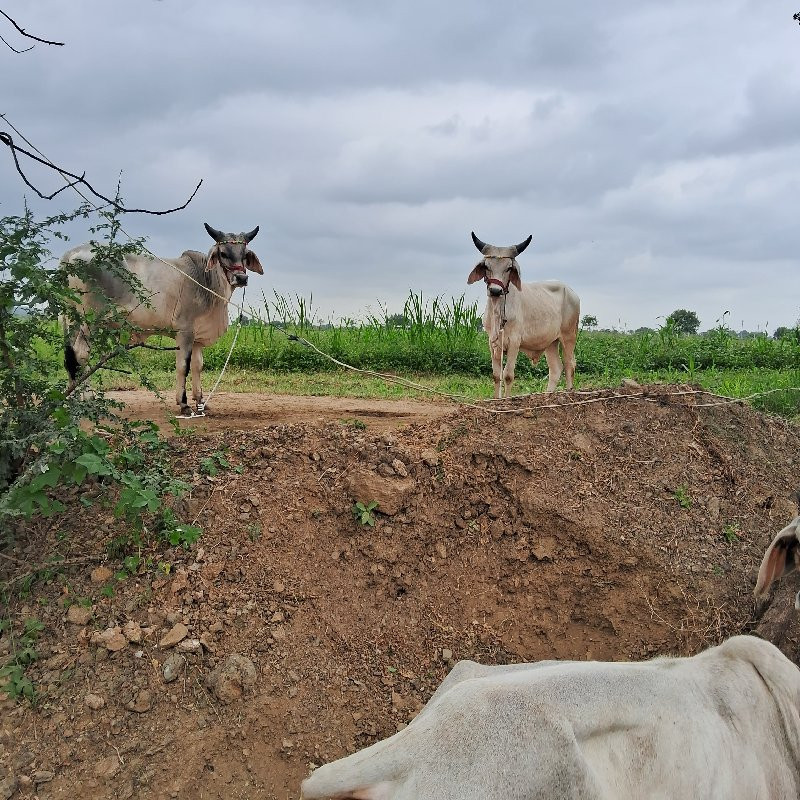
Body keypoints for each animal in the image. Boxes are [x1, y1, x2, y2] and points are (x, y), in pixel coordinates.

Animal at [63, 222, 262, 416]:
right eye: (223, 253)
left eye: (244, 254)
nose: (241, 278)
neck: (206, 281)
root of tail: (70, 254)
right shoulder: (185, 332)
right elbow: (183, 366)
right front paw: (184, 404)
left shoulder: (197, 338)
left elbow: (198, 366)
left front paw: (200, 401)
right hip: (90, 321)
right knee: (81, 354)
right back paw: (88, 397)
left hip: (71, 321)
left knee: (71, 357)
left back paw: (72, 396)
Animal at [466, 233, 580, 398]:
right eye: (487, 266)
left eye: (509, 268)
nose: (495, 291)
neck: (498, 310)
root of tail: (571, 291)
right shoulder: (492, 342)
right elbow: (496, 375)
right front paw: (496, 399)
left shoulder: (514, 342)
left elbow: (508, 375)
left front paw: (507, 399)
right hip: (551, 342)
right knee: (556, 368)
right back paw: (547, 395)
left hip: (569, 336)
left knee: (569, 364)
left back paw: (569, 393)